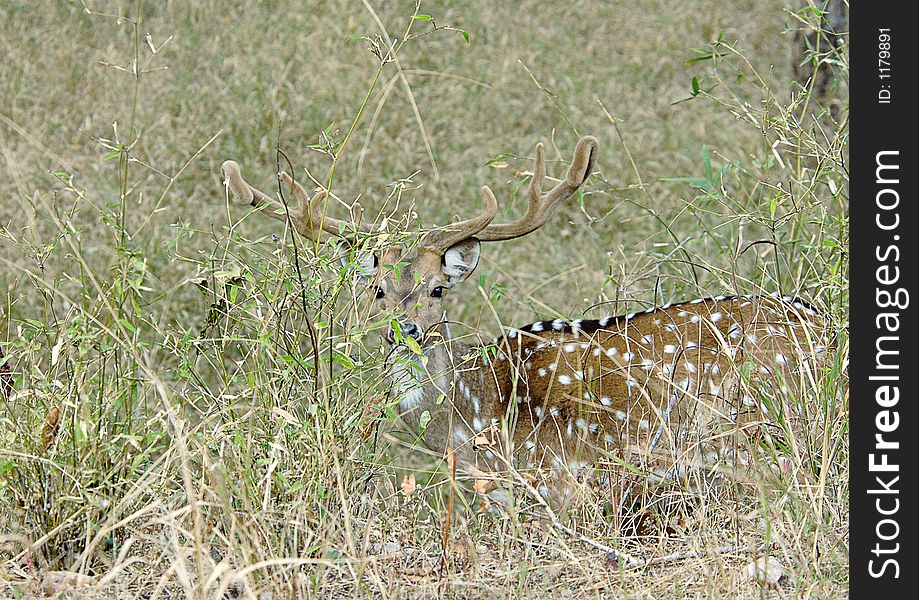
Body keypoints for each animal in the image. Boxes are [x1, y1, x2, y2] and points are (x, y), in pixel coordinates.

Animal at [221, 137, 828, 492]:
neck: (468, 424)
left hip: (753, 429)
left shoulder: (561, 476)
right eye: (376, 290)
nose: (406, 330)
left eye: (438, 289)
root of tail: (826, 328)